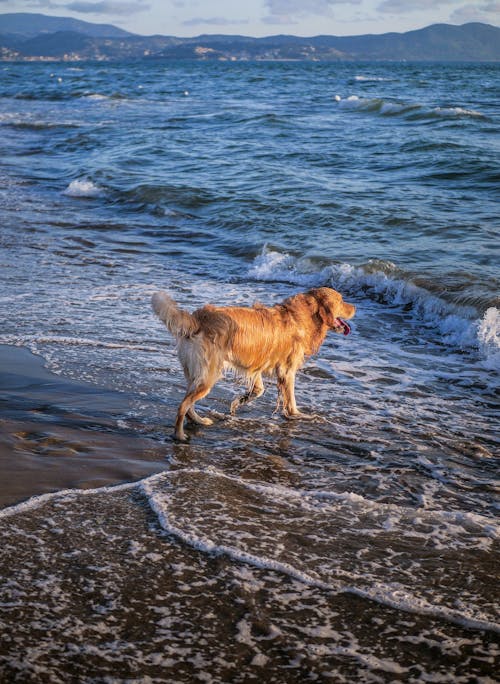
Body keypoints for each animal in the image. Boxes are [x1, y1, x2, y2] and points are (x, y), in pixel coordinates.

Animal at [151, 286, 356, 440]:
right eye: (341, 300)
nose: (354, 307)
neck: (306, 314)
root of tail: (198, 318)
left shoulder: (256, 364)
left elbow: (258, 390)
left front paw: (239, 401)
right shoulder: (287, 370)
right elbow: (290, 399)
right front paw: (298, 415)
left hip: (196, 373)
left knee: (188, 403)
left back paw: (199, 421)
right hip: (208, 375)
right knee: (183, 405)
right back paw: (179, 435)